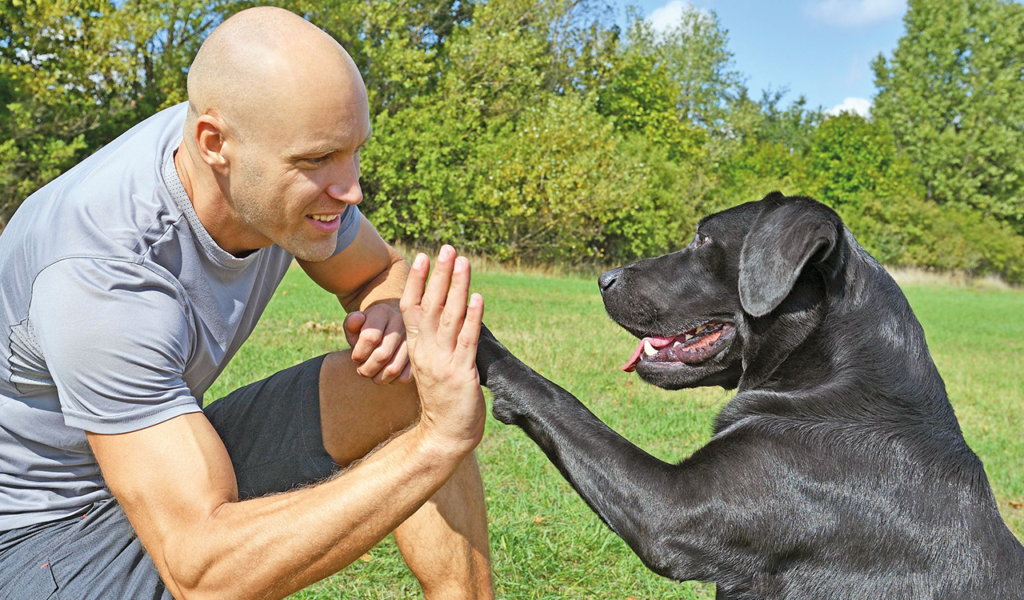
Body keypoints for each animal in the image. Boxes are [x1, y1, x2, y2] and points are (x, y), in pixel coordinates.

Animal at [477, 193, 1024, 593]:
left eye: (702, 238)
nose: (603, 279)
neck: (830, 373)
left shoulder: (673, 509)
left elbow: (562, 401)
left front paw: (477, 338)